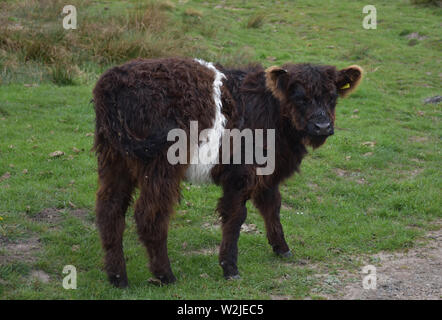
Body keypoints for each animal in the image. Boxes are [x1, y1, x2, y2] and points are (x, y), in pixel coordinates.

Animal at [92, 57, 362, 288]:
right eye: (300, 97)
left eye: (332, 97)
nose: (322, 126)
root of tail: (113, 79)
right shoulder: (241, 174)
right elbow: (236, 216)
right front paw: (230, 268)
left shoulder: (266, 173)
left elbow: (272, 206)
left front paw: (282, 248)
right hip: (160, 166)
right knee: (150, 216)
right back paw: (165, 275)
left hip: (115, 160)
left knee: (110, 210)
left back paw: (118, 277)